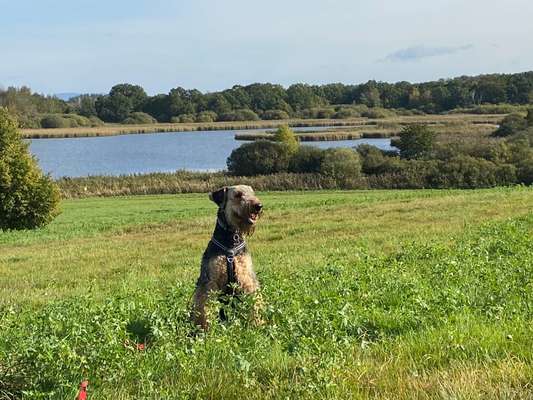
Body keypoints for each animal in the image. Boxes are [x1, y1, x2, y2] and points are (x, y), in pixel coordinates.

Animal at [192, 186, 262, 330]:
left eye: (252, 192)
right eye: (238, 195)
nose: (258, 206)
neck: (232, 239)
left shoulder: (247, 277)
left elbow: (254, 301)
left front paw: (256, 324)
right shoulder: (210, 282)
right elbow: (205, 306)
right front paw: (206, 329)